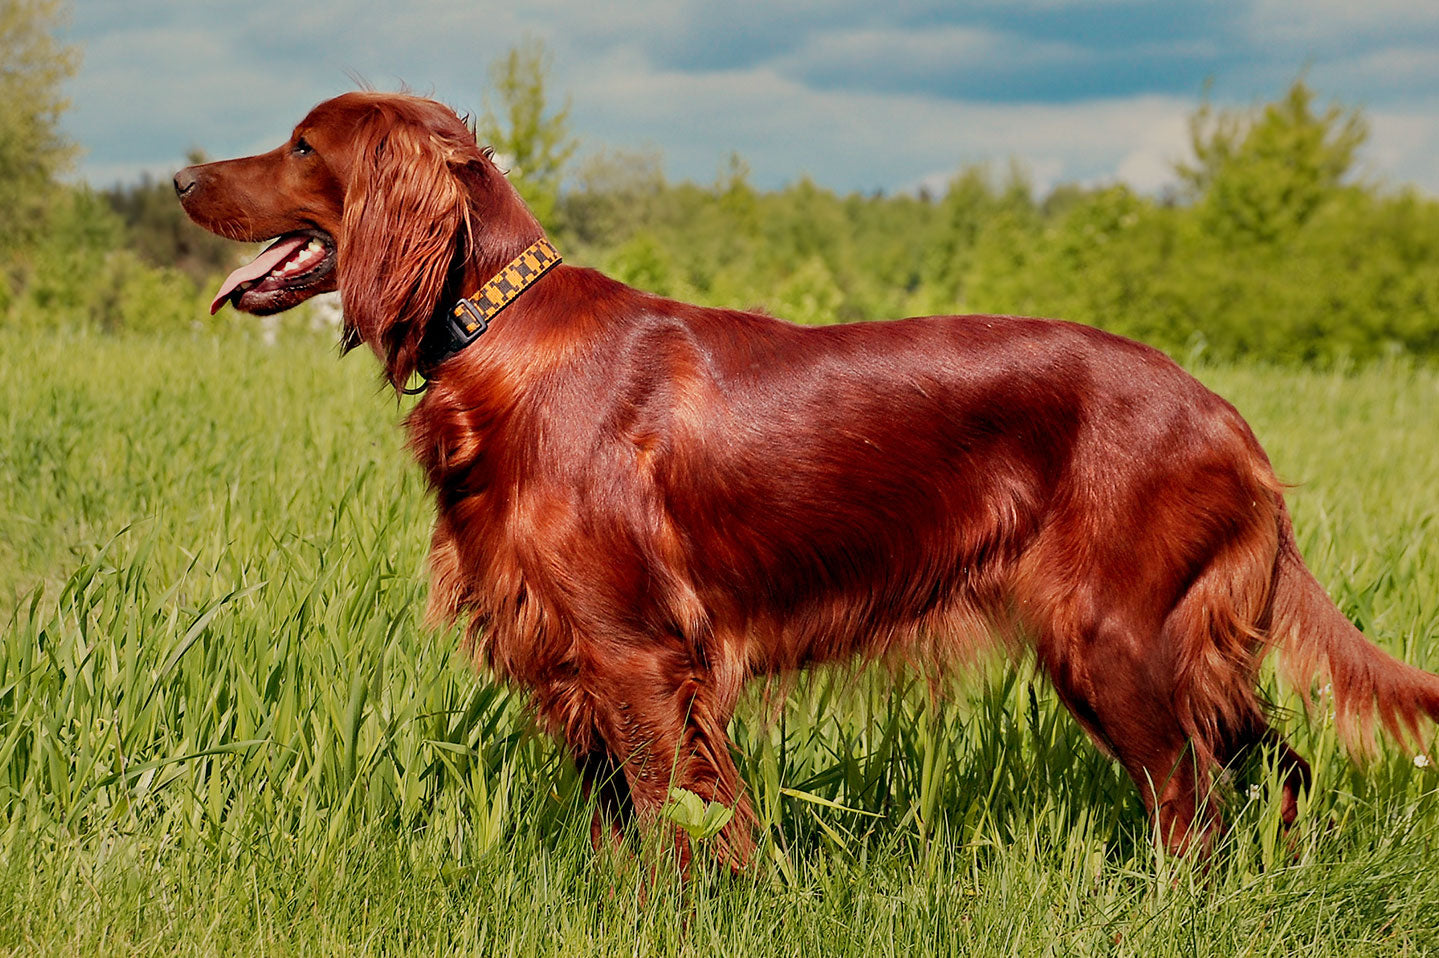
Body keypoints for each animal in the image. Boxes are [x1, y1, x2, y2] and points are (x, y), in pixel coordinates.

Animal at [176, 93, 1439, 868]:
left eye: (302, 146)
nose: (183, 177)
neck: (497, 331)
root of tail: (1224, 413)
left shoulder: (636, 653)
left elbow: (675, 828)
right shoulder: (574, 654)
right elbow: (623, 830)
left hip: (1111, 637)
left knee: (1190, 802)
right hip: (1184, 650)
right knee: (1272, 768)